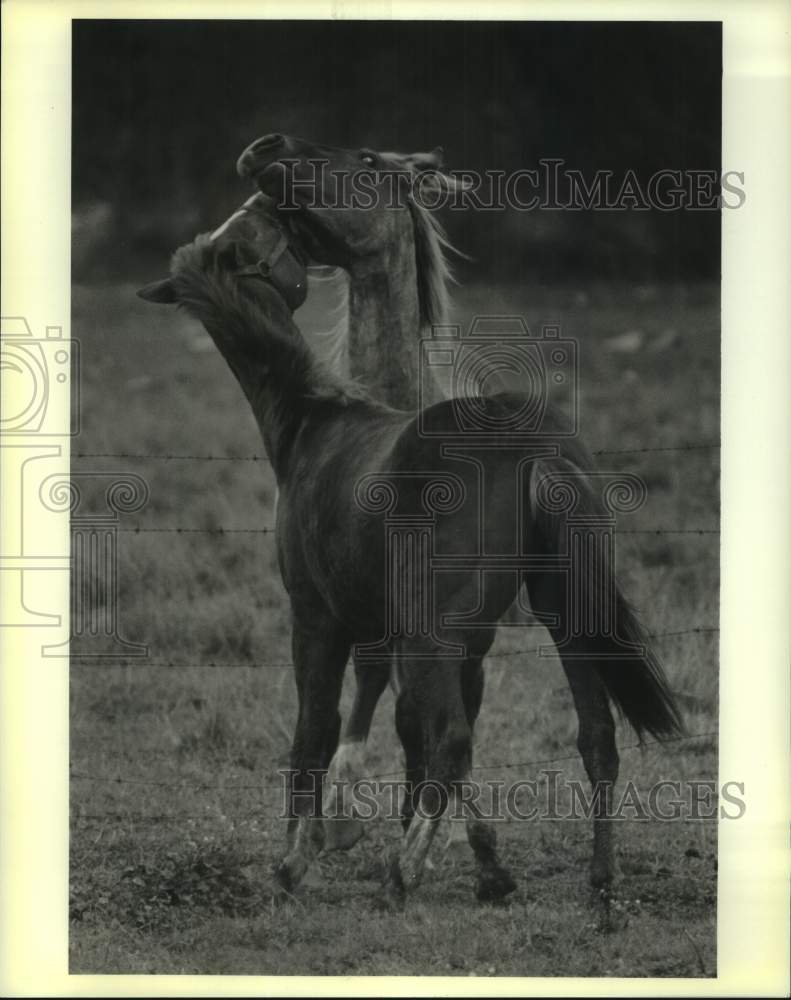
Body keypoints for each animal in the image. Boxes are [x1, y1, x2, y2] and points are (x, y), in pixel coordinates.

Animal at [139, 189, 684, 908]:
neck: (316, 418)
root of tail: (530, 445)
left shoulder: (317, 620)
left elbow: (317, 733)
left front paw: (294, 862)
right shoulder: (412, 636)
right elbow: (406, 732)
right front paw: (481, 864)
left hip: (434, 633)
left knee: (451, 741)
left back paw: (401, 875)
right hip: (566, 617)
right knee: (594, 739)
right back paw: (599, 886)